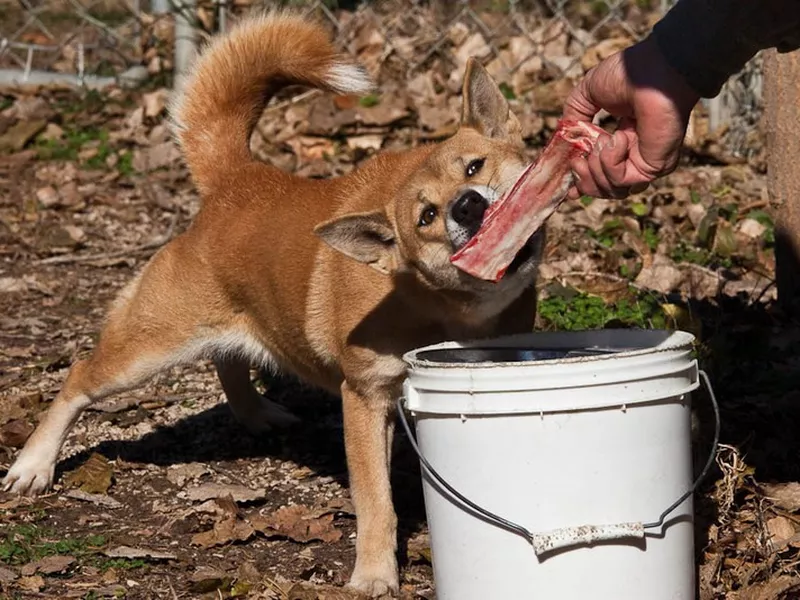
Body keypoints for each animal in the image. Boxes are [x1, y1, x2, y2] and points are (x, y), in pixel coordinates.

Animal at [3, 12, 544, 596]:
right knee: (80, 376)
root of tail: (236, 178)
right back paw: (33, 465)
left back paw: (258, 412)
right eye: (425, 217)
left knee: (228, 357)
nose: (467, 206)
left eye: (474, 167)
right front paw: (375, 574)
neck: (441, 306)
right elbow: (376, 502)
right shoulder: (365, 399)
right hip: (146, 351)